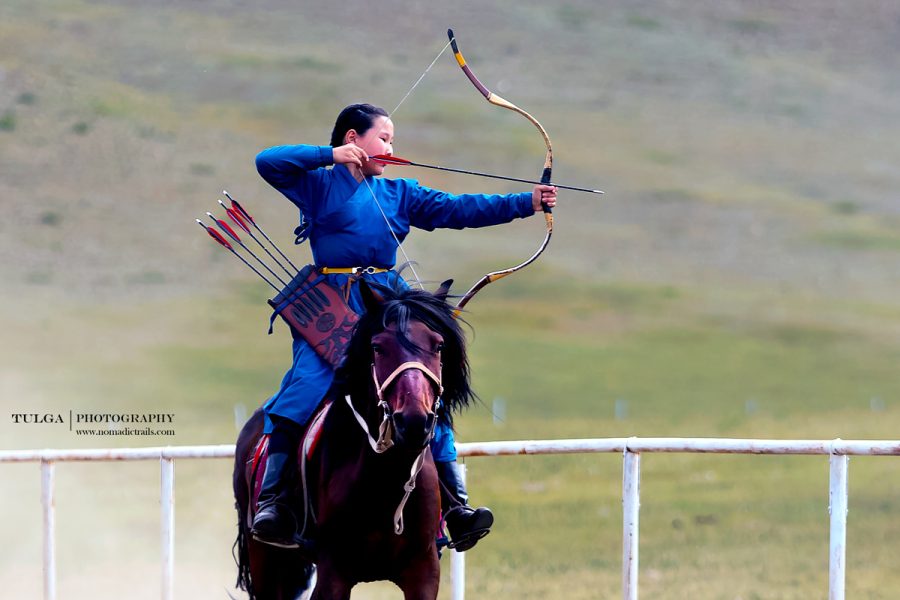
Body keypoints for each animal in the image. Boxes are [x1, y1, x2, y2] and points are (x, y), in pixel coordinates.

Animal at [232, 282, 474, 600]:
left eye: (438, 345)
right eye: (378, 347)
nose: (413, 422)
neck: (385, 480)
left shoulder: (423, 571)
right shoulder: (333, 574)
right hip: (266, 561)